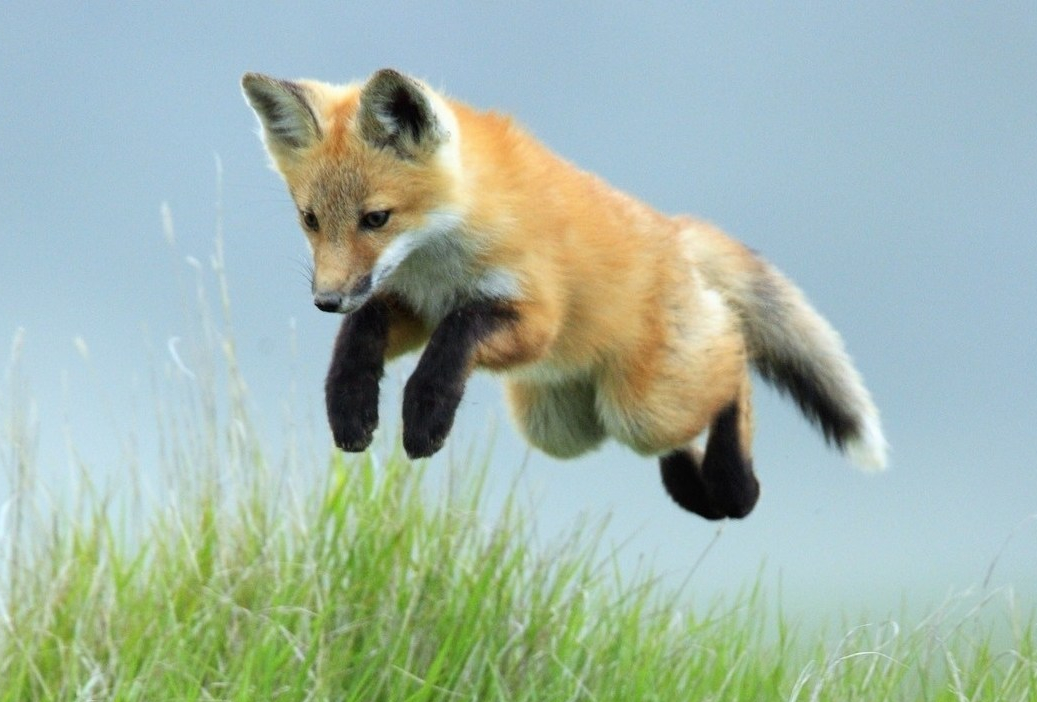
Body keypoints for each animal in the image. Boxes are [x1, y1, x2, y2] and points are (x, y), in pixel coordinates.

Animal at [241, 68, 887, 520]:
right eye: (310, 220)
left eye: (376, 218)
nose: (325, 300)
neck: (439, 261)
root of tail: (676, 231)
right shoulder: (408, 303)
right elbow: (361, 335)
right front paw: (350, 404)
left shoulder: (532, 318)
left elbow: (457, 335)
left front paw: (426, 412)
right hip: (562, 427)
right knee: (681, 425)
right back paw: (698, 491)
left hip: (642, 406)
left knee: (734, 365)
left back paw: (737, 485)